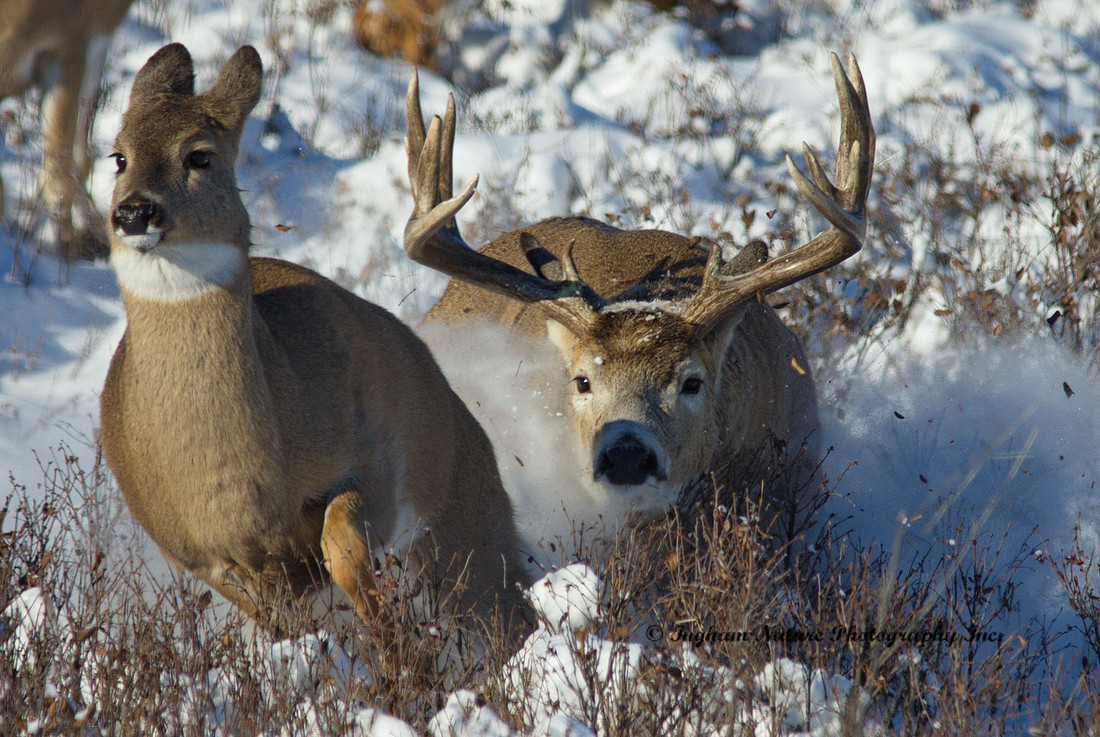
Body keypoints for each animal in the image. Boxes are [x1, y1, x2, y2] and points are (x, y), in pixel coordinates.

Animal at [99, 43, 530, 642]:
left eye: (200, 156)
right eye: (118, 156)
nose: (134, 212)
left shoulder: (378, 464)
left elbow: (341, 545)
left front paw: (392, 635)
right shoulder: (195, 554)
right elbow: (284, 625)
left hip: (465, 512)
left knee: (508, 604)